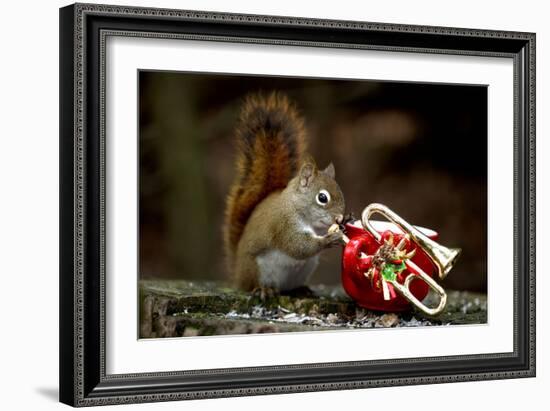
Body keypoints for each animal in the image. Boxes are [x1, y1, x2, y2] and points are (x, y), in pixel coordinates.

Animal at [223, 92, 344, 294]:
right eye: (322, 198)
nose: (340, 218)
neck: (295, 205)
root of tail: (238, 276)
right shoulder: (283, 225)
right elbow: (297, 246)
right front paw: (328, 240)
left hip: (306, 268)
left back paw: (301, 290)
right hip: (255, 269)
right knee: (254, 285)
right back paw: (264, 290)